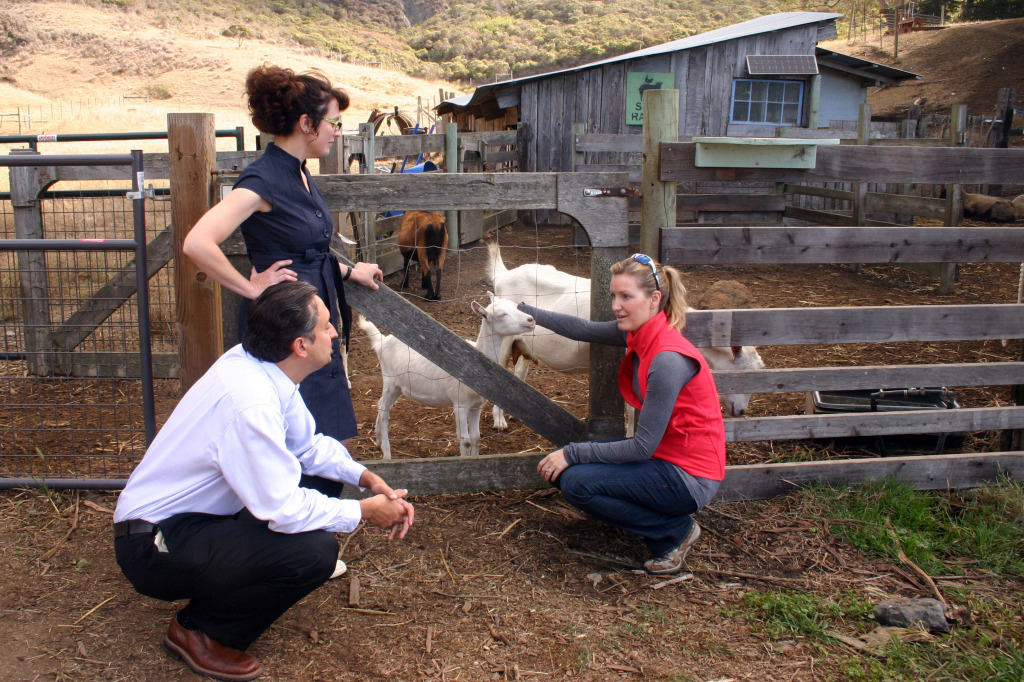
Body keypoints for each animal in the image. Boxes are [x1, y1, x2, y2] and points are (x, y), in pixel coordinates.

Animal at [358, 292, 536, 456]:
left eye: (516, 306)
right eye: (501, 315)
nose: (531, 320)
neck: (477, 364)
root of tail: (381, 342)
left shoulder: (476, 405)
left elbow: (476, 437)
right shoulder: (460, 403)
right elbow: (465, 441)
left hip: (399, 387)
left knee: (380, 404)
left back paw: (378, 441)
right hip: (389, 381)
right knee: (384, 411)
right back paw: (387, 453)